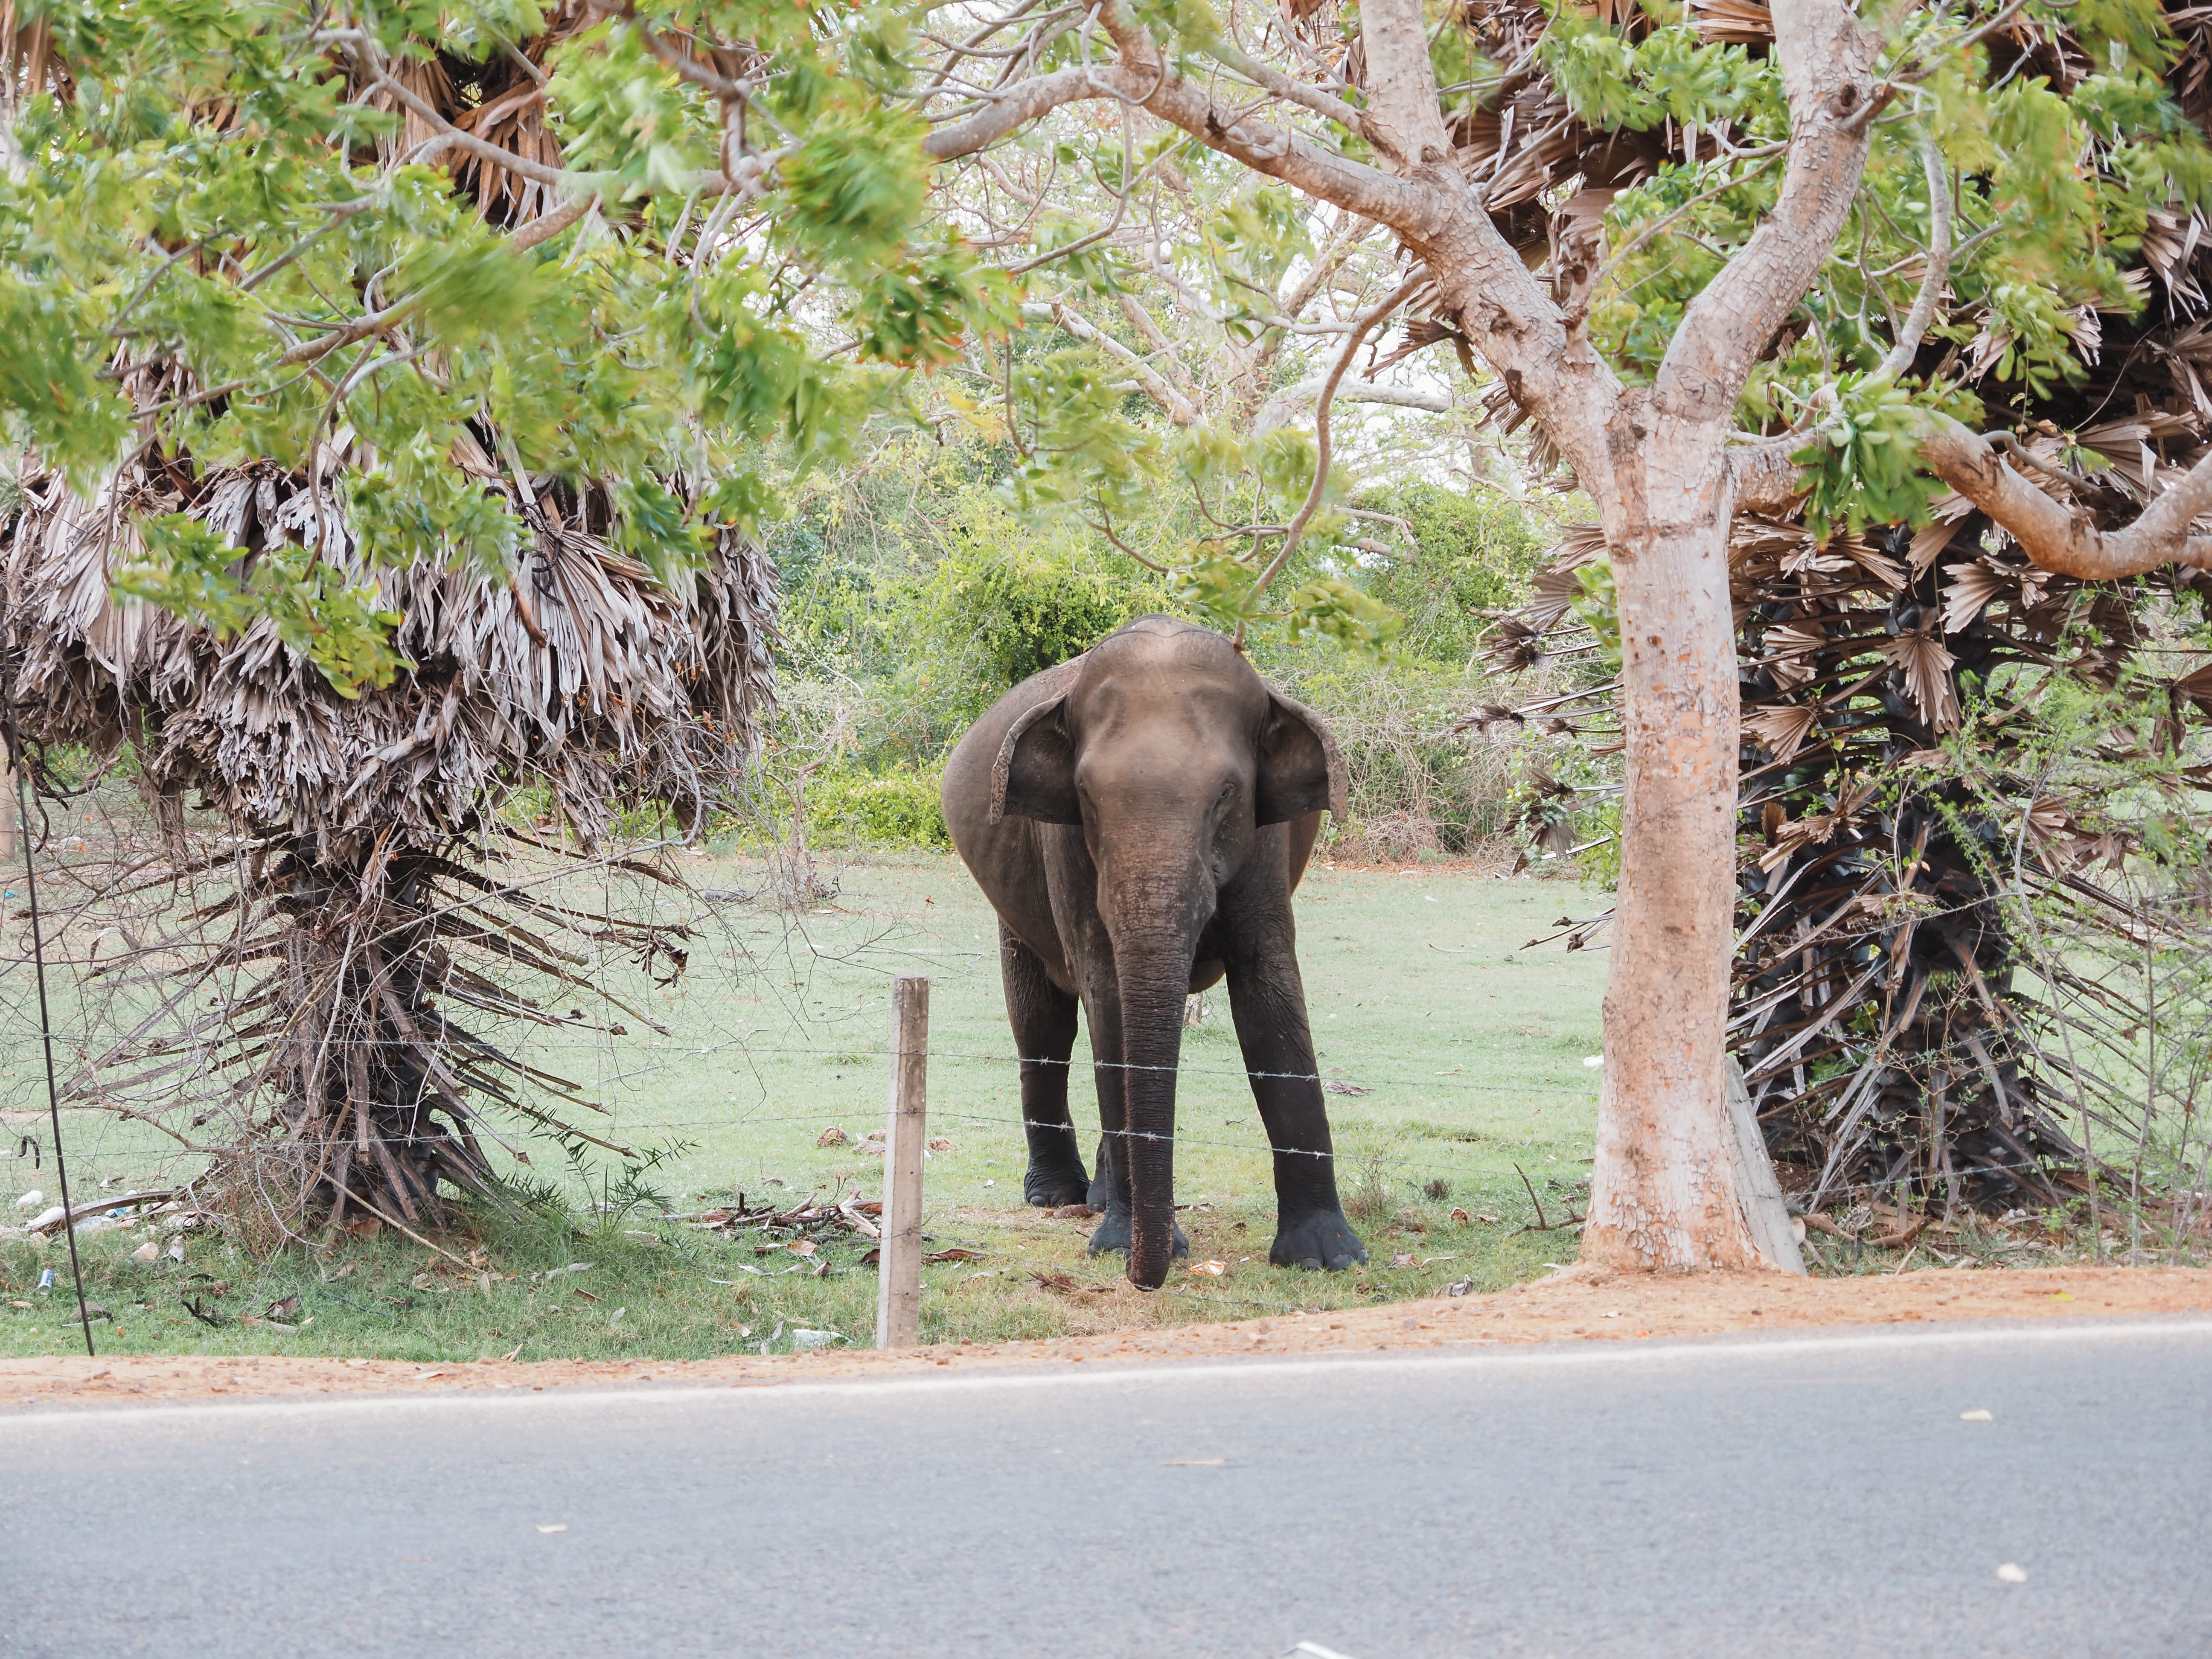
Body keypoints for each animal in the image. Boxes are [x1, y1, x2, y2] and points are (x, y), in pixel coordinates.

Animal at [946, 619, 1371, 1292]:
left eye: (1227, 794)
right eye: (1087, 795)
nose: (1145, 1277)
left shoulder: (1265, 843)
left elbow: (1270, 996)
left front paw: (1325, 1257)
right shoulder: (1066, 847)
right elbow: (1111, 1001)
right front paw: (1125, 1244)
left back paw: (1098, 1199)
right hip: (1013, 911)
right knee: (1042, 1024)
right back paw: (1058, 1195)